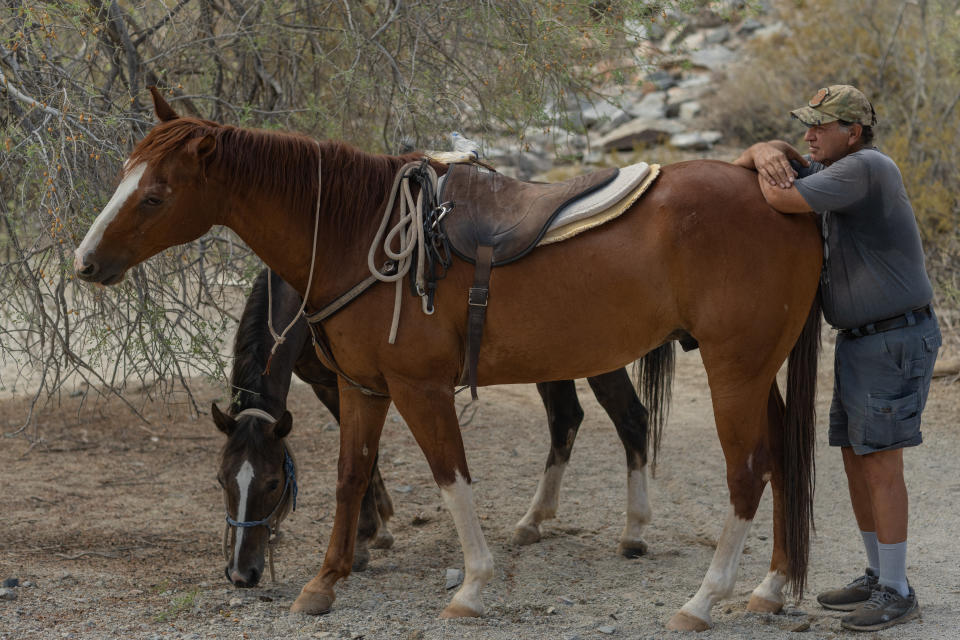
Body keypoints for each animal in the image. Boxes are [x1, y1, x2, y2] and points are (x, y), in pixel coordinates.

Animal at [75, 90, 820, 632]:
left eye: (154, 196)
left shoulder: (418, 389)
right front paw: (325, 582)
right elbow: (351, 476)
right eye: (223, 483)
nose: (86, 261)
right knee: (783, 458)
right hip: (757, 371)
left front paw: (473, 587)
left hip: (731, 370)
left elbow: (450, 477)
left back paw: (703, 598)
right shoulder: (361, 389)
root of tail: (778, 186)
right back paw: (770, 586)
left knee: (745, 471)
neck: (353, 234)